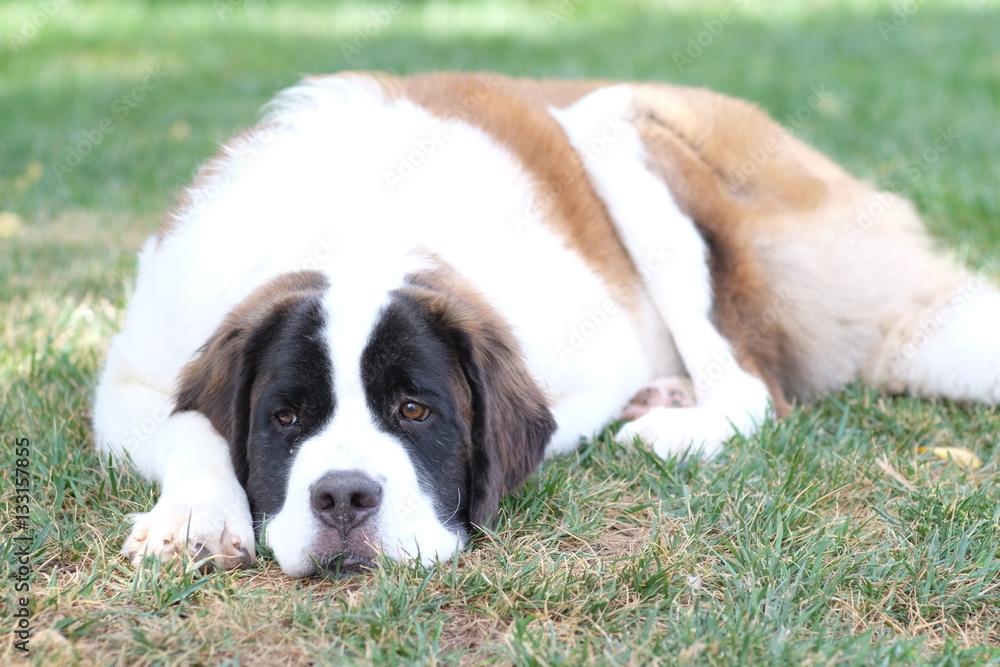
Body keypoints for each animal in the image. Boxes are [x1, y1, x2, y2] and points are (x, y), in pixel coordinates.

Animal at [90, 70, 996, 576]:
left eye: (414, 410)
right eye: (285, 418)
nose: (344, 494)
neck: (350, 225)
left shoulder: (586, 357)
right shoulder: (130, 373)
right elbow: (191, 421)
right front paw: (196, 515)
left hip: (615, 126)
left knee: (755, 386)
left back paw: (672, 423)